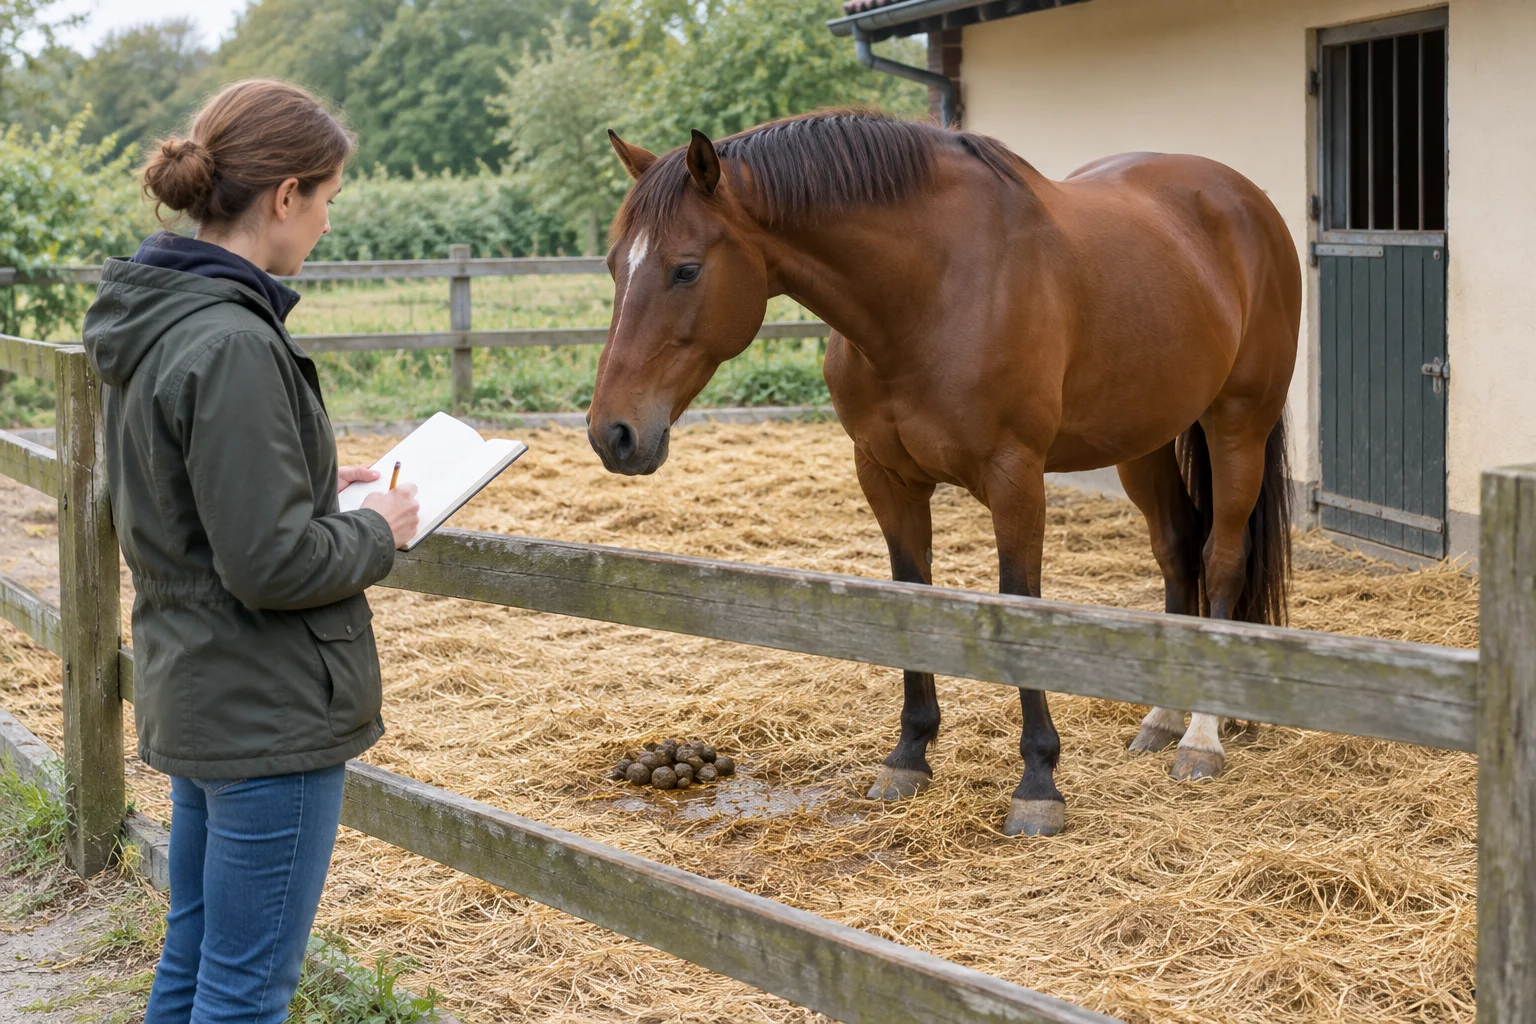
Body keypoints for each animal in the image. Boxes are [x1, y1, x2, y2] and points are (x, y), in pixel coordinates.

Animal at [587, 110, 1300, 837]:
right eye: (615, 266)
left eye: (686, 269)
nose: (613, 434)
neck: (933, 289)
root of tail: (1246, 200)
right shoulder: (886, 478)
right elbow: (911, 597)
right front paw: (909, 755)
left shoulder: (1016, 480)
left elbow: (1019, 607)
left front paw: (1038, 783)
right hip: (1142, 441)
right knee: (1177, 549)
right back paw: (1163, 718)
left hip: (1238, 424)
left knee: (1221, 558)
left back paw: (1201, 737)